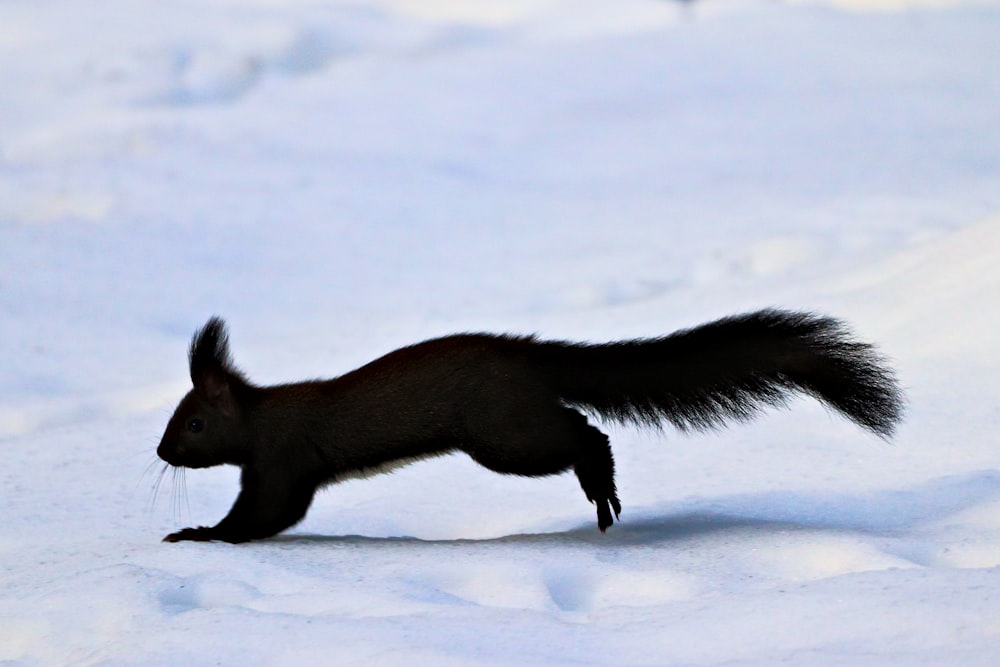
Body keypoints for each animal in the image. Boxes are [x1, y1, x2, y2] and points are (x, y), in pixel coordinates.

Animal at [158, 310, 908, 544]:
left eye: (192, 422)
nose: (161, 449)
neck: (260, 416)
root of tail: (530, 355)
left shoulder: (282, 460)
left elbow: (265, 514)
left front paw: (195, 533)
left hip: (500, 433)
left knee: (583, 432)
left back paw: (601, 487)